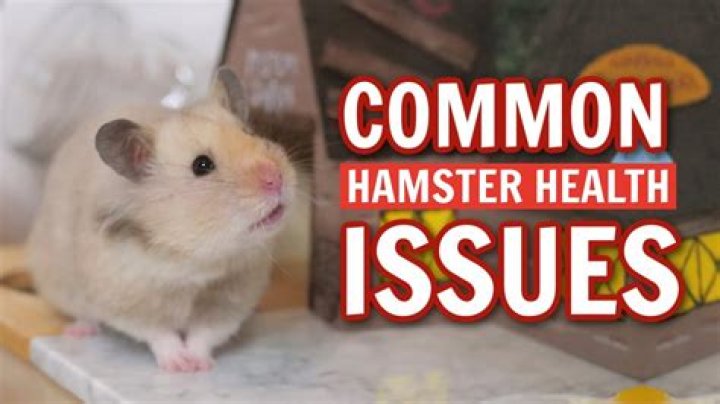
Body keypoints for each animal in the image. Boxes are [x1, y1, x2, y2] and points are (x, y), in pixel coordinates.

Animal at [27, 67, 297, 372]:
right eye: (202, 165)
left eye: (250, 133)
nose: (276, 178)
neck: (193, 259)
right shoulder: (126, 298)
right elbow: (159, 333)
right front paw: (180, 365)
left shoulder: (230, 296)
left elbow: (204, 333)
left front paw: (199, 364)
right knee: (85, 314)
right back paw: (79, 331)